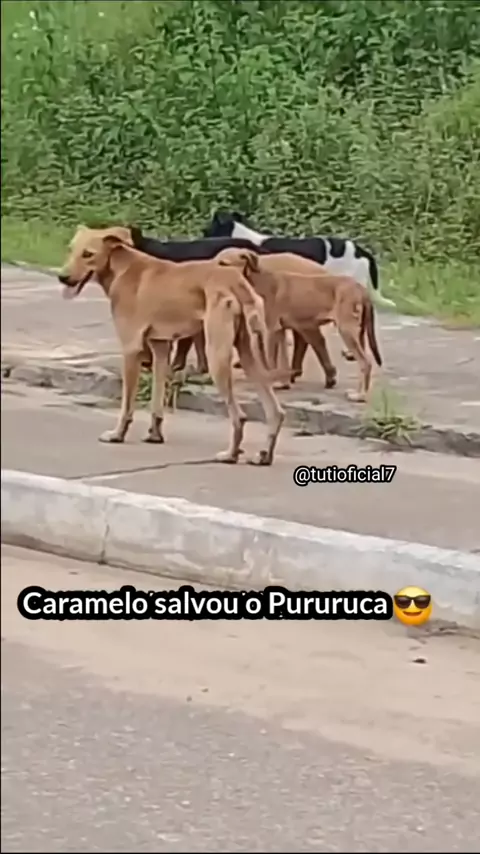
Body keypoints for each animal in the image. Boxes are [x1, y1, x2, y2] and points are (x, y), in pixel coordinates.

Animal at [58, 226, 285, 465]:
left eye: (88, 254)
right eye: (71, 250)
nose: (62, 277)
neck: (121, 266)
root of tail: (236, 281)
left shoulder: (131, 349)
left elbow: (127, 404)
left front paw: (118, 434)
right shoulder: (161, 348)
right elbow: (157, 399)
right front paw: (155, 434)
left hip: (217, 356)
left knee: (239, 416)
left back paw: (230, 454)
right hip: (250, 354)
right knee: (275, 412)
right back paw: (264, 454)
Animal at [215, 248, 383, 402]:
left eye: (224, 263)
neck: (256, 280)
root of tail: (361, 289)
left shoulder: (270, 330)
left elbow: (270, 360)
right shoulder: (279, 331)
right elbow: (282, 360)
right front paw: (283, 383)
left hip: (346, 331)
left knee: (365, 363)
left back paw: (360, 396)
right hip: (356, 333)